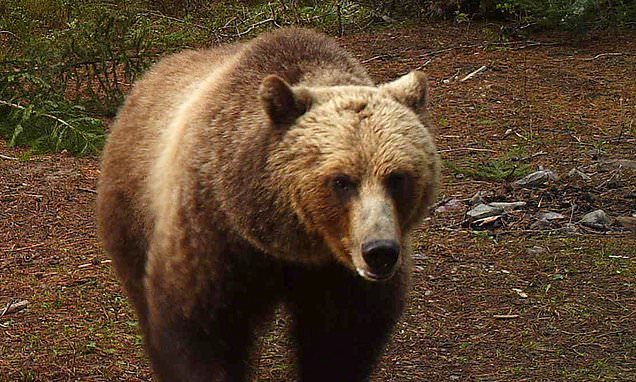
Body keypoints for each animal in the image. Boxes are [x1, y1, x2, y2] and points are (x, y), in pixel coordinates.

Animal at [97, 27, 440, 382]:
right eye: (341, 180)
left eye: (397, 177)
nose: (380, 252)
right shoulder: (212, 233)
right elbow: (197, 330)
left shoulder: (340, 277)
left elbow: (340, 342)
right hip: (132, 211)